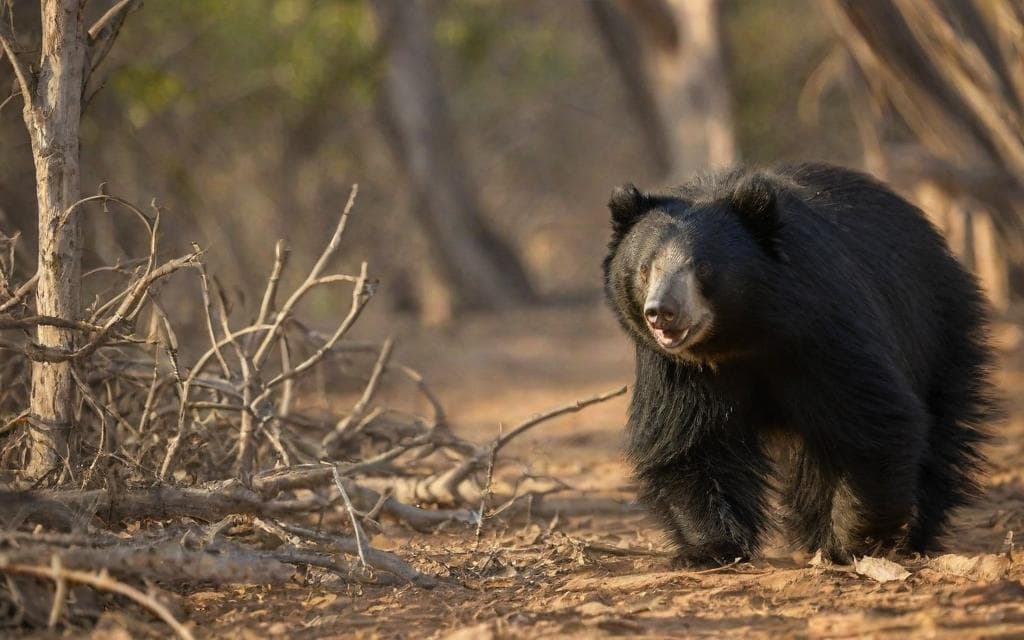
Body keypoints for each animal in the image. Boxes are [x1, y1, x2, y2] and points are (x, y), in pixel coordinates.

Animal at [602, 162, 997, 566]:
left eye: (702, 267)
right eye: (646, 269)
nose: (661, 312)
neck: (740, 336)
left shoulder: (821, 329)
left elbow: (874, 422)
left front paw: (854, 540)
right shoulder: (678, 370)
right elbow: (690, 442)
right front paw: (710, 548)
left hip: (938, 326)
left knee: (941, 425)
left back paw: (915, 534)